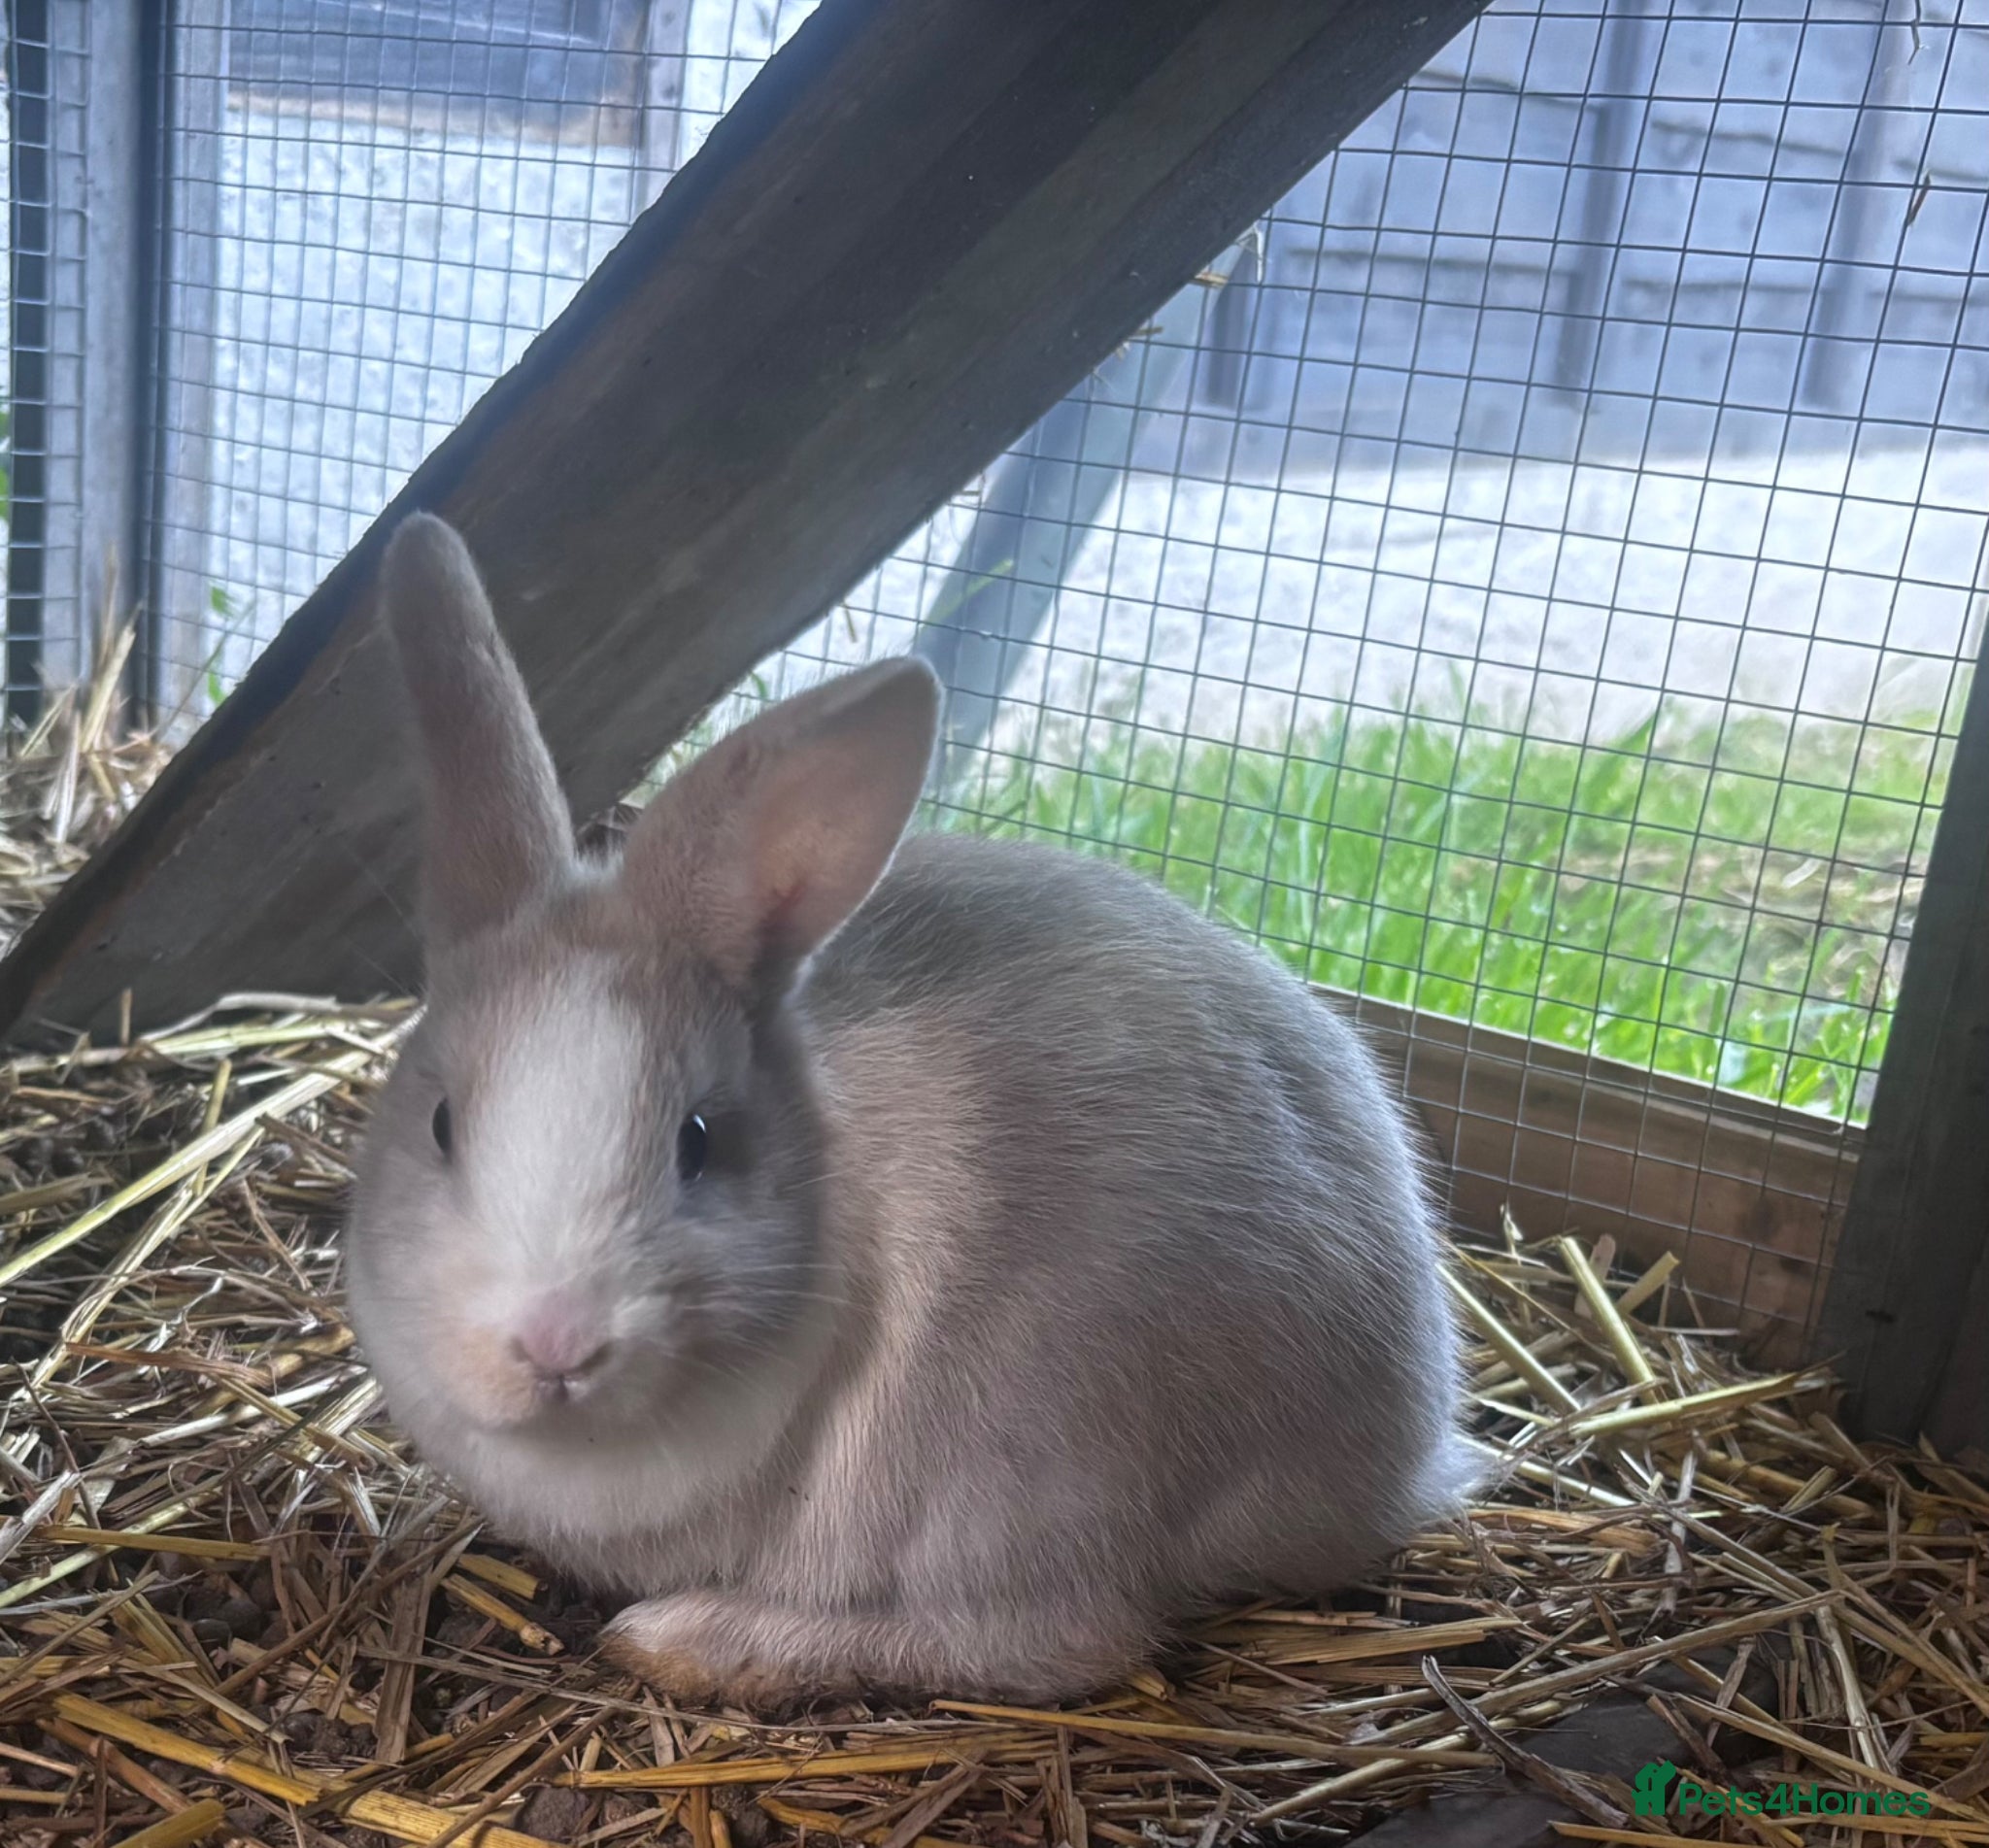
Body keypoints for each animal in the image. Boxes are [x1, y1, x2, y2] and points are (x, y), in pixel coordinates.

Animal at [345, 511, 1475, 1708]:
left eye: (699, 1140)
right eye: (440, 1124)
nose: (555, 1342)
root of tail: (1399, 1451)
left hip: (1033, 1468)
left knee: (1064, 1642)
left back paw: (685, 1639)